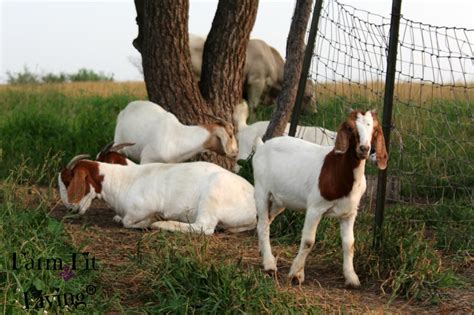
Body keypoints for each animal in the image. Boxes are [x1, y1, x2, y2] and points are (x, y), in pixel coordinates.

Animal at [59, 150, 260, 235]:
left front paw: (150, 221)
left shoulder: (142, 207)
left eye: (68, 181)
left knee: (204, 228)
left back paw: (162, 224)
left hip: (212, 194)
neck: (121, 180)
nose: (69, 208)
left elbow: (127, 222)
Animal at [254, 110, 386, 288]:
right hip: (262, 190)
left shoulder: (349, 213)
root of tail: (262, 146)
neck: (338, 172)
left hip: (278, 200)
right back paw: (269, 265)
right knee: (262, 223)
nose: (364, 149)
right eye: (350, 128)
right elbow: (308, 241)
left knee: (266, 220)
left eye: (375, 130)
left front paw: (352, 278)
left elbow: (349, 244)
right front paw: (296, 274)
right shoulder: (315, 208)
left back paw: (264, 254)